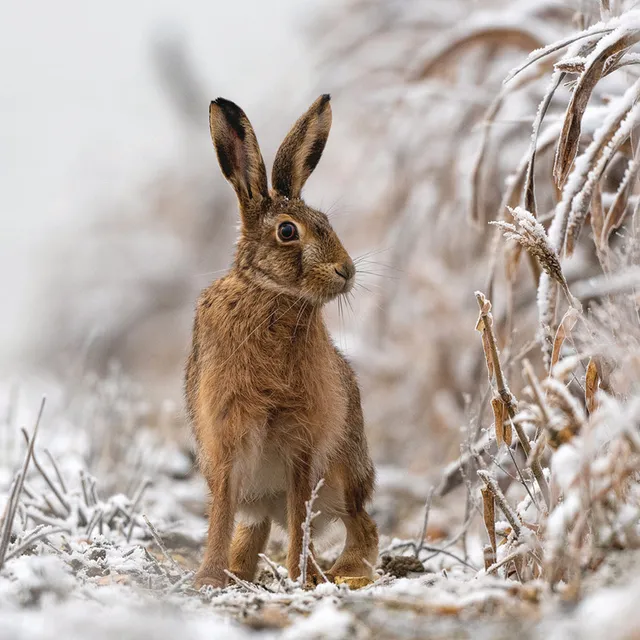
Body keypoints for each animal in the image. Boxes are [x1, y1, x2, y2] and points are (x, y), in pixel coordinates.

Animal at [185, 94, 378, 589]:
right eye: (288, 231)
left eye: (327, 222)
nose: (346, 271)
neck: (270, 295)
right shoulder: (227, 434)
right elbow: (220, 513)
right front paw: (208, 579)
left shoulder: (303, 442)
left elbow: (300, 515)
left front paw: (300, 578)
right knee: (255, 525)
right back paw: (238, 569)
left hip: (346, 471)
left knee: (358, 521)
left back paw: (344, 574)